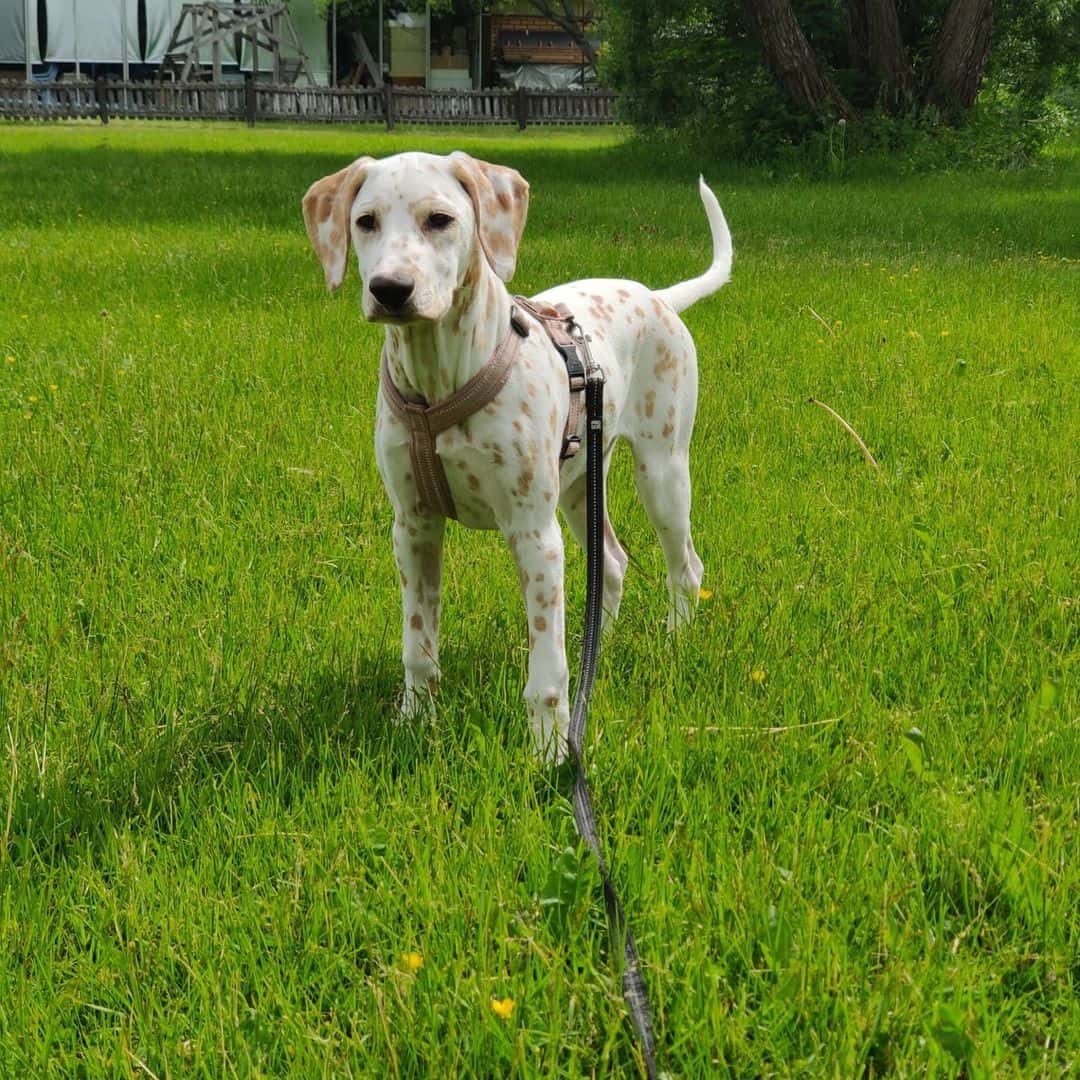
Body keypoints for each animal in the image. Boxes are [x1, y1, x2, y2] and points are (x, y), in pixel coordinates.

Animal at [300, 152, 730, 764]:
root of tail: (659, 296)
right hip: (578, 485)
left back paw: (675, 640)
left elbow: (546, 669)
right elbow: (417, 645)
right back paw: (599, 646)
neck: (440, 382)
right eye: (365, 222)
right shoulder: (413, 527)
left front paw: (550, 750)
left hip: (662, 469)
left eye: (440, 220)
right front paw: (414, 720)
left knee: (686, 566)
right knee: (612, 562)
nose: (390, 289)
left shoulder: (533, 533)